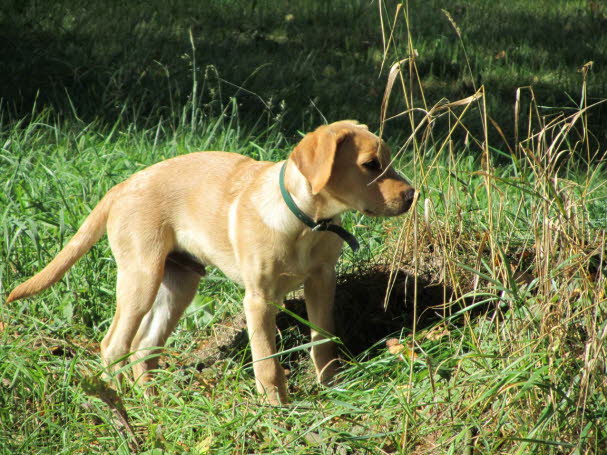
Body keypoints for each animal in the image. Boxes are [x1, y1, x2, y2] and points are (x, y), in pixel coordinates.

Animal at [8, 121, 418, 406]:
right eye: (370, 165)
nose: (413, 195)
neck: (305, 222)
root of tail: (122, 186)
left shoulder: (321, 281)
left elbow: (324, 341)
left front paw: (331, 388)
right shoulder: (258, 300)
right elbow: (266, 361)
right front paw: (276, 409)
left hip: (179, 284)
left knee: (143, 348)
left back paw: (153, 405)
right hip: (141, 277)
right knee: (113, 345)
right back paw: (121, 405)